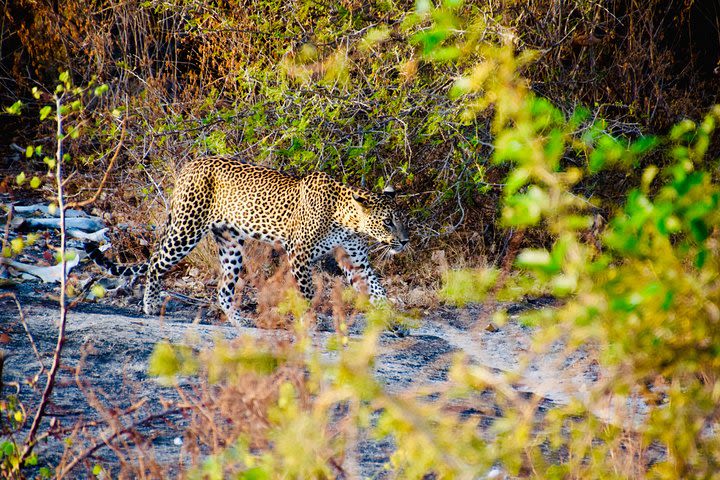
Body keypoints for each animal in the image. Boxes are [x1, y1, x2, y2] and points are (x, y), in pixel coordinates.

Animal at [86, 156, 410, 328]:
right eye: (387, 222)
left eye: (400, 219)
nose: (405, 241)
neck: (347, 219)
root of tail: (190, 165)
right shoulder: (299, 254)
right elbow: (306, 293)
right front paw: (310, 322)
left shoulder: (356, 260)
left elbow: (378, 290)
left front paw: (393, 323)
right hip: (186, 229)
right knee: (155, 263)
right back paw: (151, 306)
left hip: (230, 243)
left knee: (223, 289)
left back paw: (240, 322)